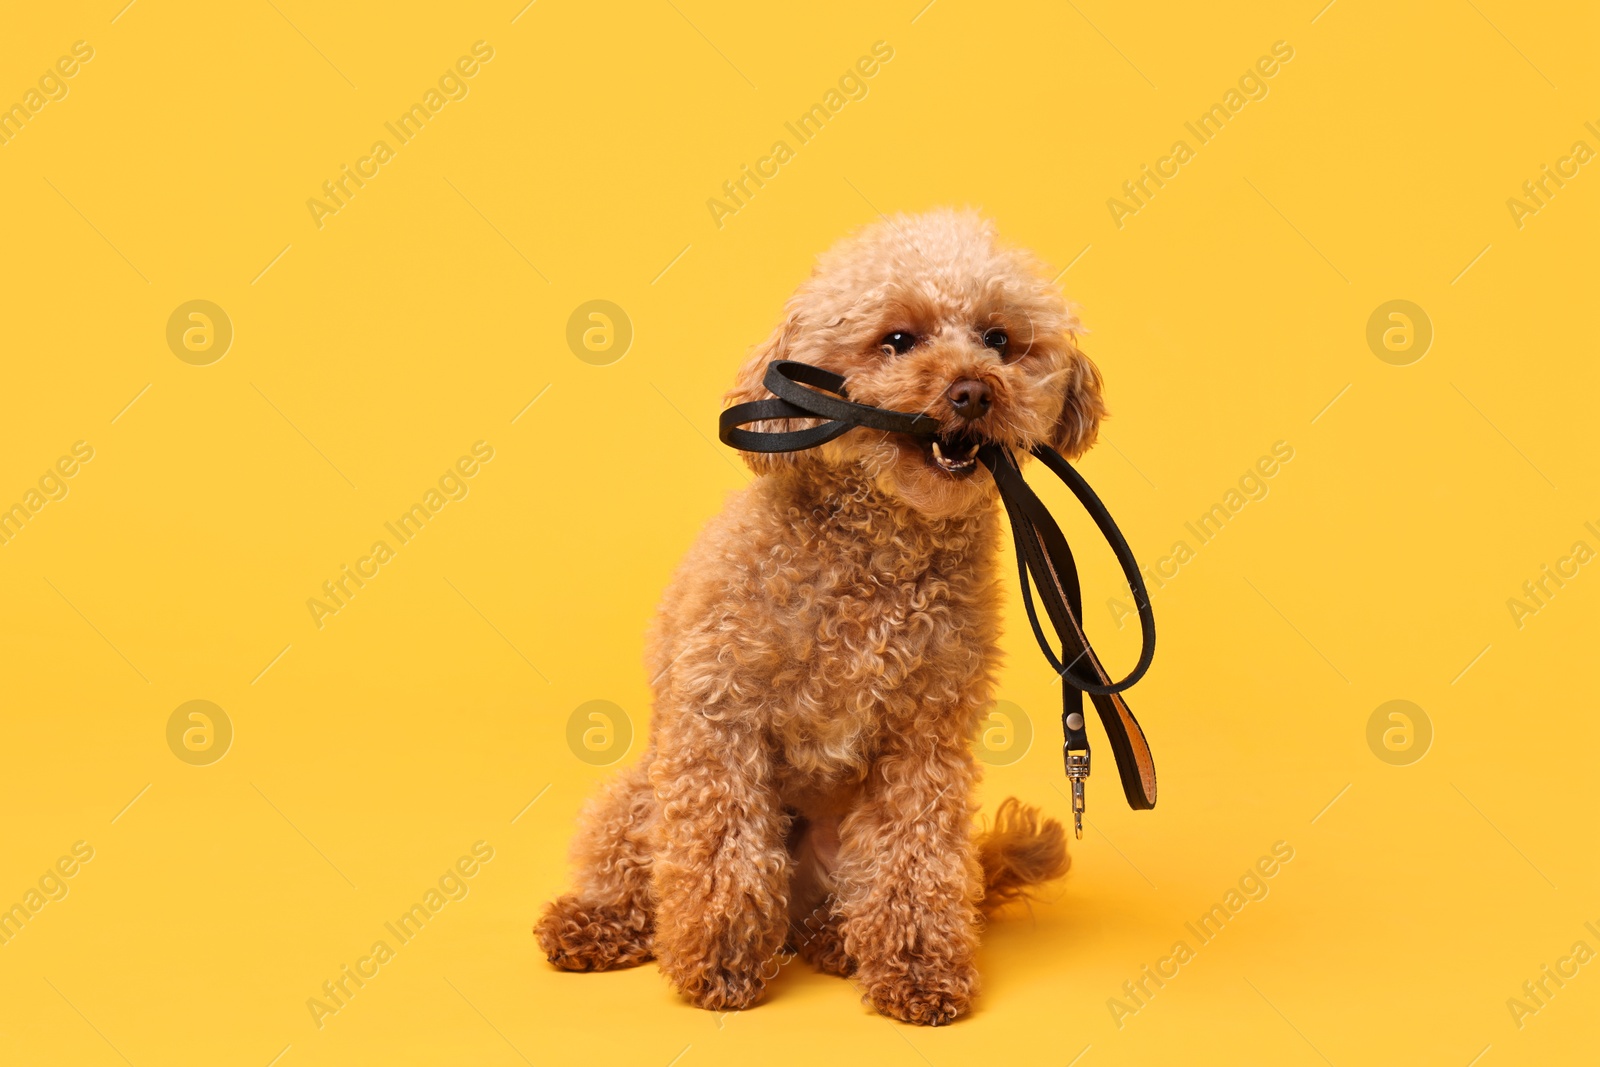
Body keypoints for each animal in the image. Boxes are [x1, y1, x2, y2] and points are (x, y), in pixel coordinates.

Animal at [531, 211, 1107, 1023]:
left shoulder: (924, 742)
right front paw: (721, 964)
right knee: (643, 869)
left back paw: (837, 942)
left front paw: (918, 970)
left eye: (998, 338)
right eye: (897, 339)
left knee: (841, 899)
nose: (972, 391)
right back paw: (598, 922)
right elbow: (721, 851)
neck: (880, 549)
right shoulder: (719, 713)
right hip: (643, 792)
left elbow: (917, 858)